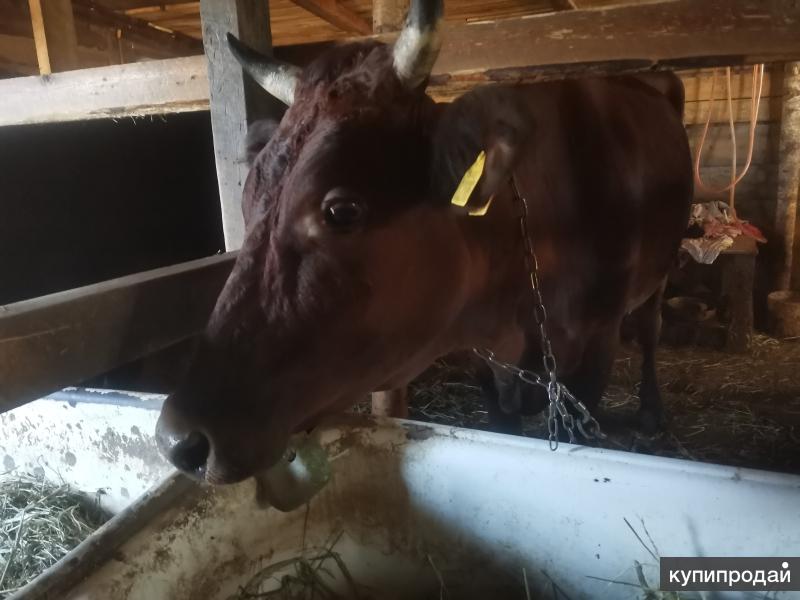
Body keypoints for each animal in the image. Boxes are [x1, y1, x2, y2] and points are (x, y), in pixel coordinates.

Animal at [155, 0, 693, 484]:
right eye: (247, 197)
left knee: (651, 326)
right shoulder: (485, 362)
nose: (181, 439)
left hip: (662, 269)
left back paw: (651, 410)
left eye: (342, 210)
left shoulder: (597, 349)